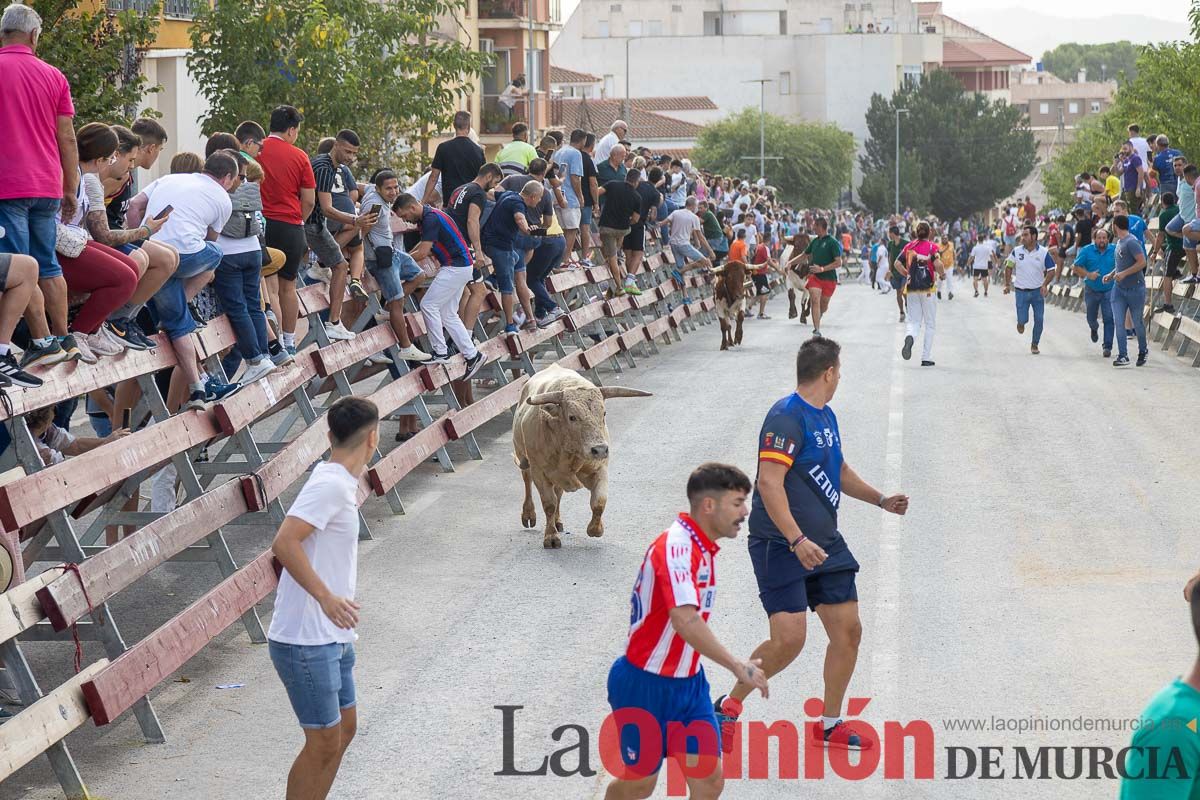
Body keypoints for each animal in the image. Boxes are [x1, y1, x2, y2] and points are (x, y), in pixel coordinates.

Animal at [511, 364, 652, 546]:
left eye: (604, 413)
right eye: (572, 417)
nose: (600, 449)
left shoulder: (599, 468)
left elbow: (599, 501)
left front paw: (595, 529)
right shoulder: (540, 473)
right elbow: (549, 504)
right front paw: (551, 537)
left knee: (558, 492)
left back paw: (558, 521)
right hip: (523, 457)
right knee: (527, 480)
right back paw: (529, 515)